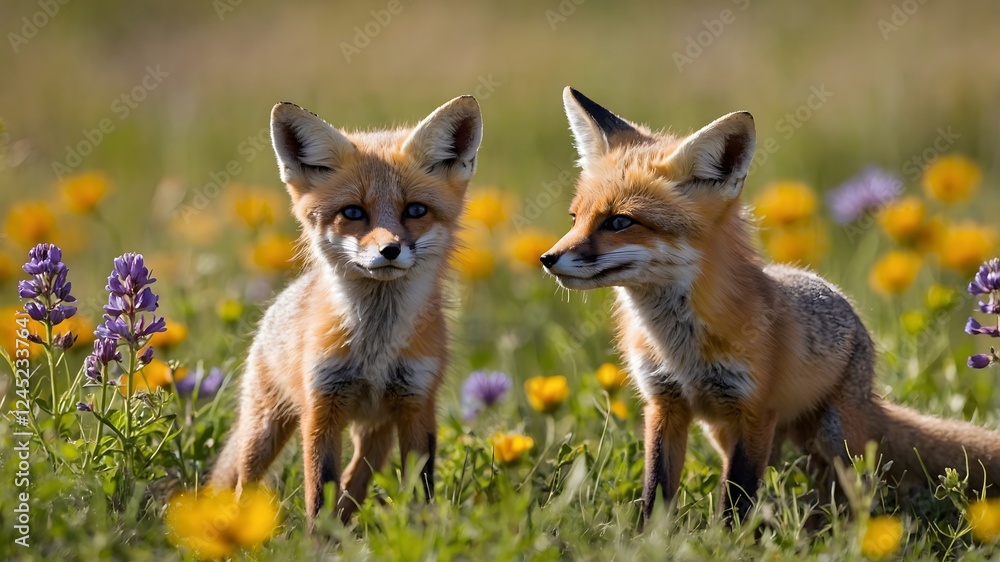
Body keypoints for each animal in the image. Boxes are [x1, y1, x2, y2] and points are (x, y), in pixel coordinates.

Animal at [208, 95, 483, 527]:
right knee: (244, 484)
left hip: (376, 432)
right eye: (353, 213)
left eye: (415, 210)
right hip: (265, 428)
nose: (389, 250)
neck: (375, 348)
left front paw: (421, 533)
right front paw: (316, 538)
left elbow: (419, 486)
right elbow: (319, 491)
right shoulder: (321, 408)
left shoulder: (417, 405)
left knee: (356, 481)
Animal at [540, 86, 1000, 526]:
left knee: (854, 492)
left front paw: (725, 543)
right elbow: (657, 492)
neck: (680, 348)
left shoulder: (754, 410)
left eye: (619, 221)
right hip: (728, 433)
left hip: (834, 439)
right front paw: (649, 541)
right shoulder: (665, 405)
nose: (547, 258)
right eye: (575, 218)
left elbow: (736, 500)